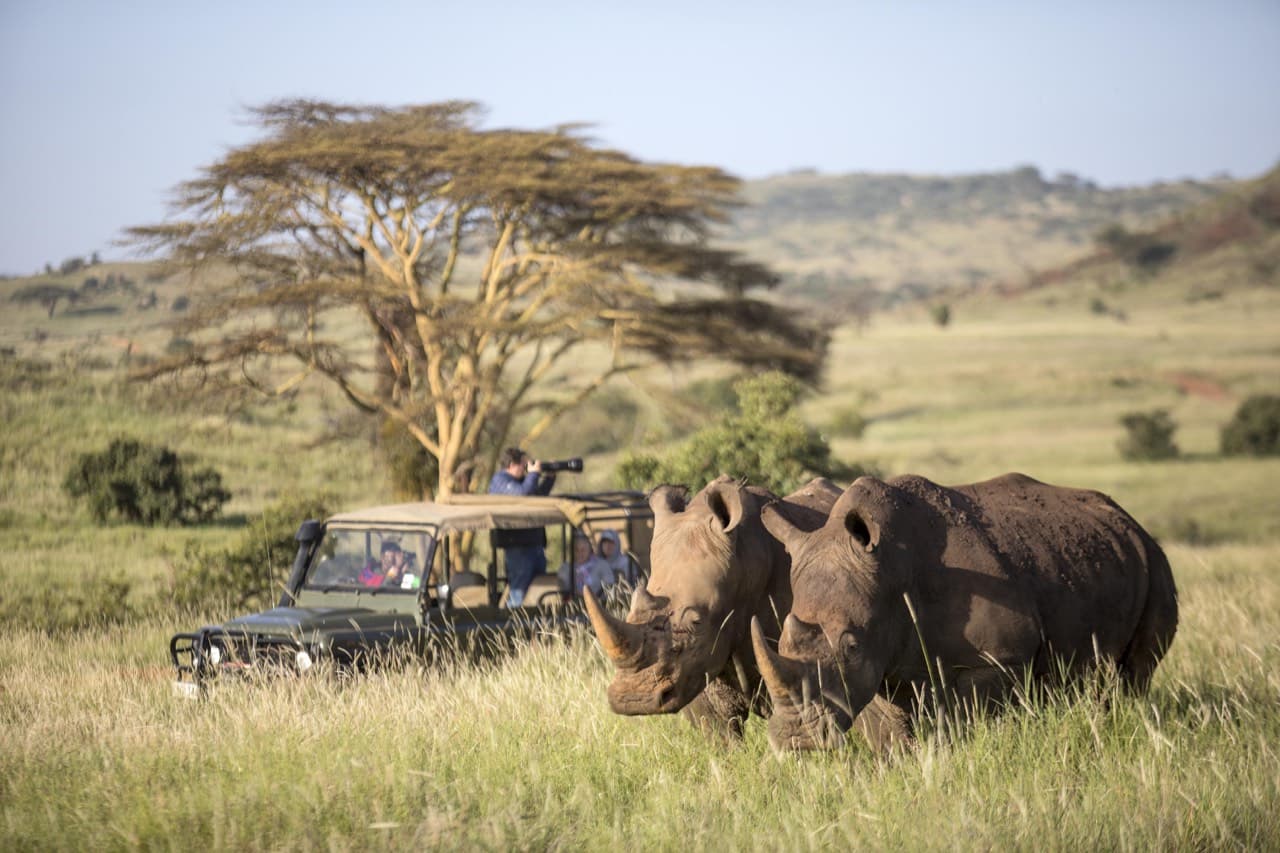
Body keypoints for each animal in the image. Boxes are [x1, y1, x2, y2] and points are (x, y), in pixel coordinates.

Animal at [751, 472, 1179, 753]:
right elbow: (888, 733)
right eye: (782, 641)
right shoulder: (878, 664)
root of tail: (1129, 520)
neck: (892, 571)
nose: (795, 740)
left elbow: (968, 719)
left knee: (1133, 675)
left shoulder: (995, 659)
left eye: (851, 646)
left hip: (1154, 564)